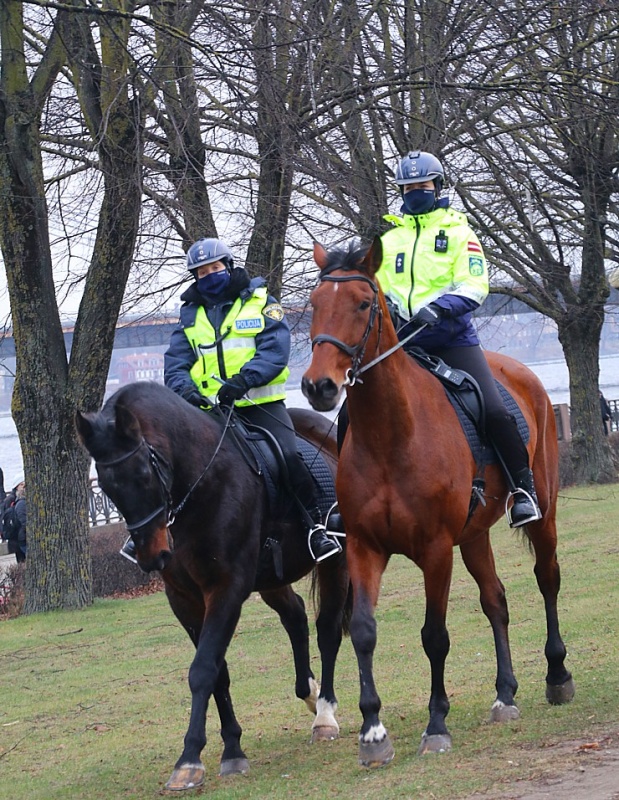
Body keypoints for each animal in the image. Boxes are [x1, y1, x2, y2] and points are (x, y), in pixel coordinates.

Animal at [302, 236, 572, 768]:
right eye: (314, 304)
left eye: (362, 304)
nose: (319, 386)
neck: (392, 435)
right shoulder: (364, 547)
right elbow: (362, 629)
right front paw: (373, 732)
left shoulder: (435, 550)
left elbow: (434, 636)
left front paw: (436, 724)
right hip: (475, 535)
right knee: (496, 600)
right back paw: (504, 695)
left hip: (542, 513)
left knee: (546, 578)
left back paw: (557, 676)